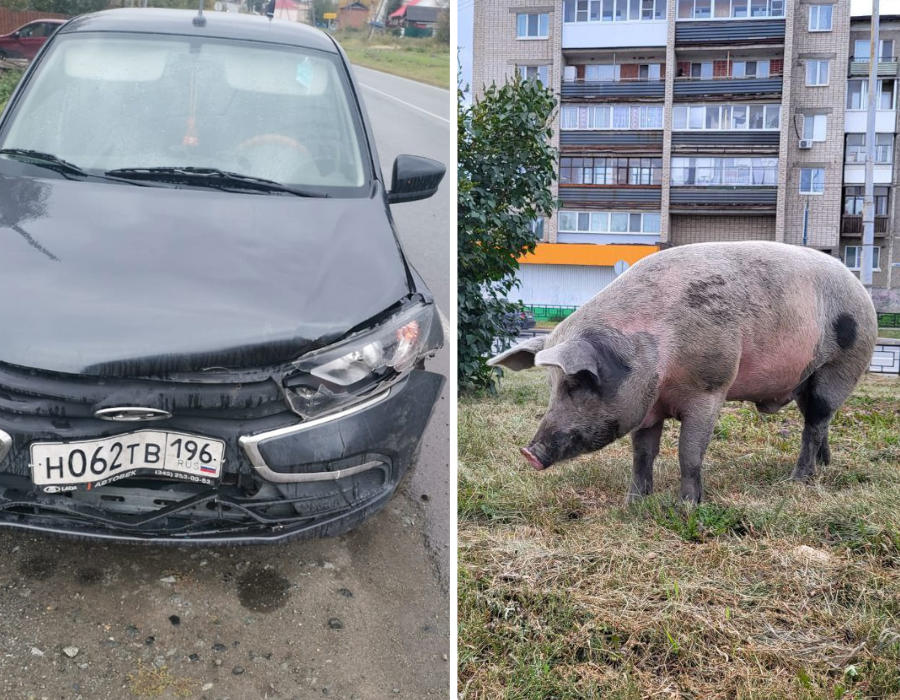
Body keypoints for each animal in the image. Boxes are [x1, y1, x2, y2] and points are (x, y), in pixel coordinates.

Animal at [492, 241, 880, 504]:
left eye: (578, 382)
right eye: (551, 385)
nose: (529, 452)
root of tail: (861, 290)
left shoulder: (710, 388)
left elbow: (688, 453)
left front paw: (688, 506)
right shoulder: (647, 406)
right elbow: (642, 454)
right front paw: (634, 503)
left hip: (839, 366)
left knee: (814, 423)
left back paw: (797, 481)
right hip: (806, 379)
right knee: (820, 422)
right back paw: (823, 467)